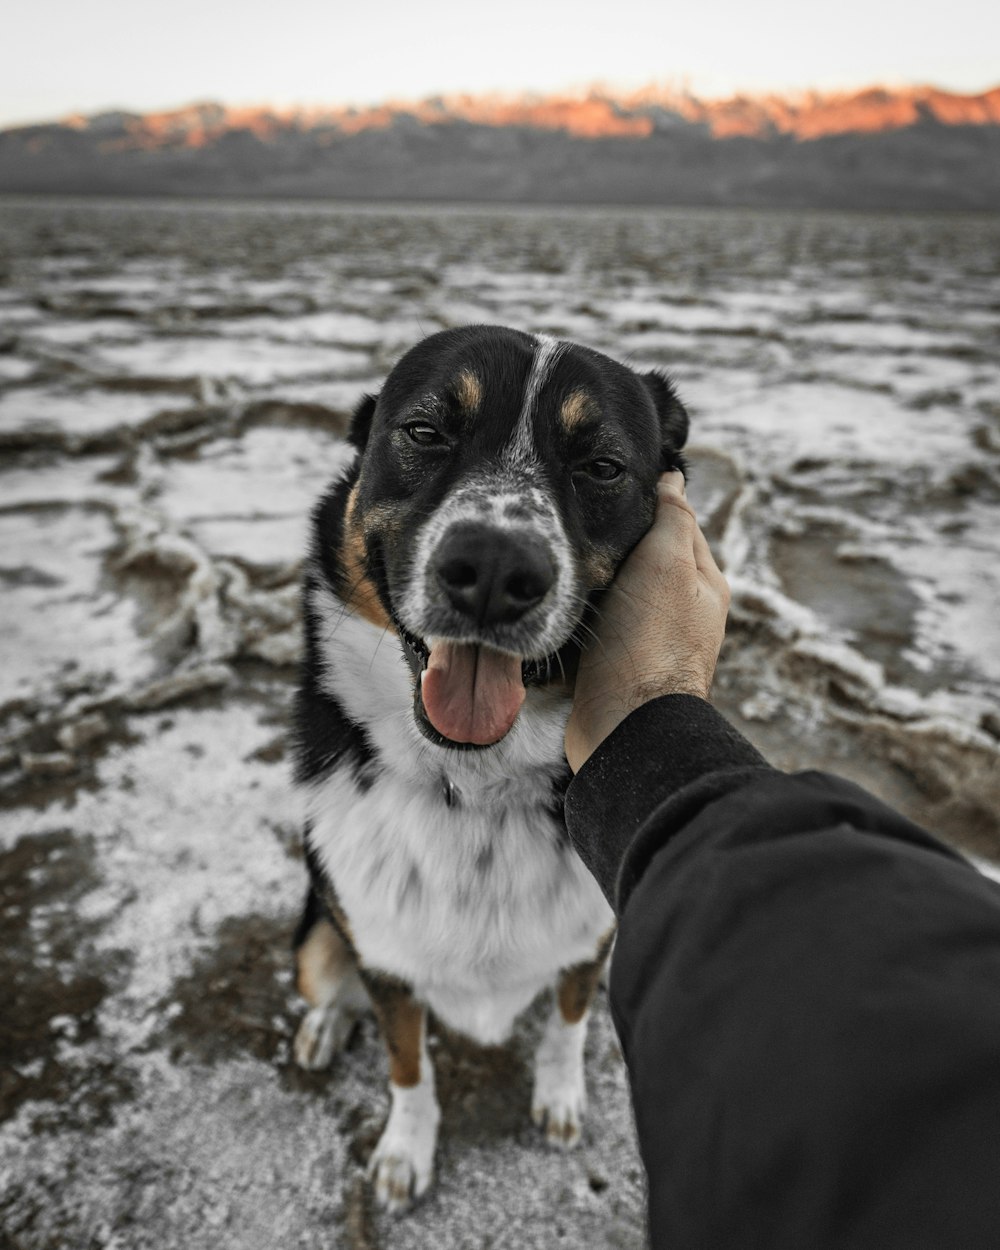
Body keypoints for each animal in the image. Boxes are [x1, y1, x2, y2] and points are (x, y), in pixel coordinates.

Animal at [285, 322, 685, 1210]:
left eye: (602, 466)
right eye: (426, 431)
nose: (497, 571)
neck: (475, 792)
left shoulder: (588, 942)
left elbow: (568, 1024)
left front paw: (561, 1095)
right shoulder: (385, 956)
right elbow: (407, 1063)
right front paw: (406, 1149)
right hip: (316, 939)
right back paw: (327, 1023)